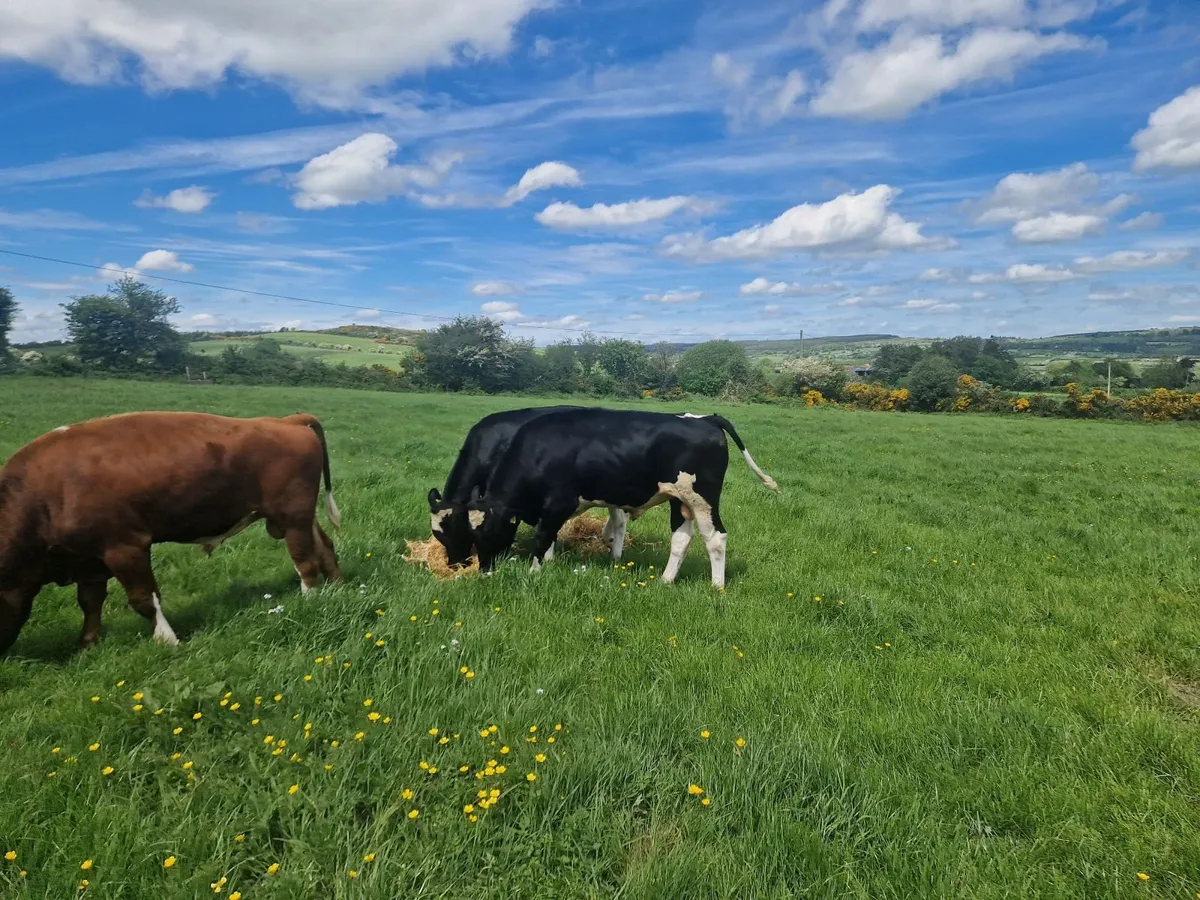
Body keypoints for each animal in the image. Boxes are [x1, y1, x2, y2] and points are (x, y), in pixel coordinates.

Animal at [0, 411, 341, 655]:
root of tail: (285, 421)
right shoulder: (88, 558)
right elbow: (90, 601)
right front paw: (86, 643)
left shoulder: (125, 547)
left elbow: (143, 599)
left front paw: (168, 640)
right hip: (298, 517)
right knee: (325, 547)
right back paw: (337, 586)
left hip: (292, 517)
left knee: (304, 560)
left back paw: (310, 599)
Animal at [465, 409, 779, 588]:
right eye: (472, 532)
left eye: (489, 530)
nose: (484, 571)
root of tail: (706, 419)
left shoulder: (558, 503)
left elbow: (542, 537)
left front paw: (534, 573)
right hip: (679, 499)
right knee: (681, 537)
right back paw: (666, 580)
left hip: (702, 497)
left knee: (715, 537)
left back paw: (716, 587)